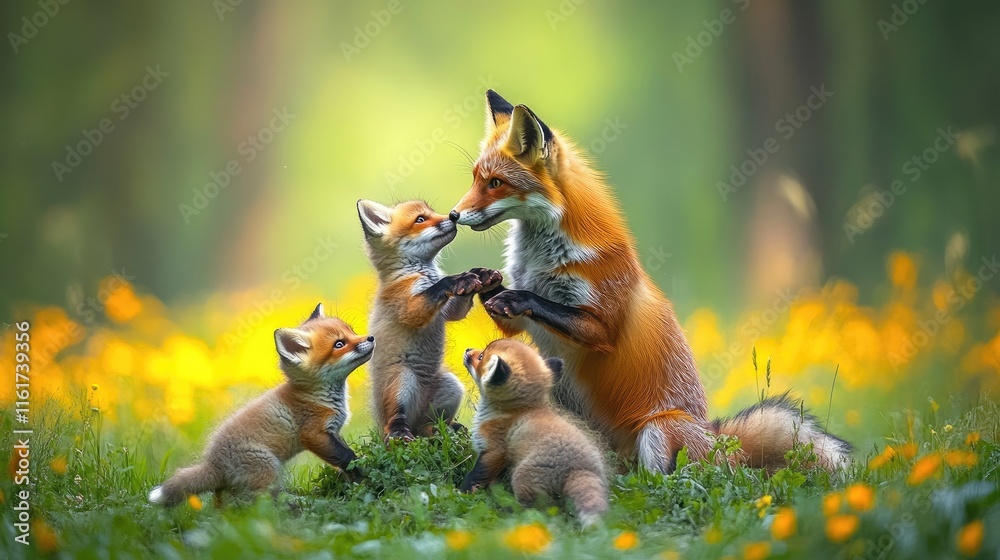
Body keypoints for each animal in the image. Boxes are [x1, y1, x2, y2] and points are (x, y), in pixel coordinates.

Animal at [148, 303, 369, 507]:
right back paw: (300, 505)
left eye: (352, 331)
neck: (316, 396)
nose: (371, 338)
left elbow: (342, 455)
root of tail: (213, 462)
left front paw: (352, 478)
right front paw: (359, 472)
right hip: (268, 470)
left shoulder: (333, 432)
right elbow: (345, 456)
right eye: (339, 344)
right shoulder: (313, 433)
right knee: (264, 505)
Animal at [357, 199, 502, 440]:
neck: (417, 273)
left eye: (432, 213)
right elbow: (436, 289)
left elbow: (457, 308)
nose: (453, 216)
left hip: (451, 387)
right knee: (394, 426)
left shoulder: (446, 311)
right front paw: (456, 279)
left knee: (428, 427)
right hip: (403, 380)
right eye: (420, 219)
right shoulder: (408, 306)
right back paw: (399, 433)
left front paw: (481, 274)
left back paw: (444, 429)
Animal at [449, 90, 851, 473]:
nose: (453, 215)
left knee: (664, 480)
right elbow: (508, 304)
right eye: (475, 179)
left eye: (496, 183)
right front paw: (481, 279)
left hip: (657, 428)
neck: (541, 259)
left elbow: (546, 304)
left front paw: (520, 296)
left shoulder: (602, 325)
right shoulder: (518, 324)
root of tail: (721, 445)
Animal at [462, 339, 608, 528]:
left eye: (480, 357)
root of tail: (578, 467)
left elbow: (477, 475)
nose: (467, 349)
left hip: (523, 480)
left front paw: (464, 491)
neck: (520, 409)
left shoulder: (493, 450)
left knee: (536, 511)